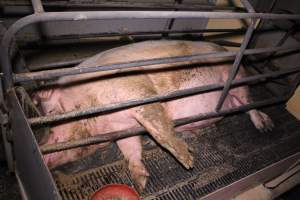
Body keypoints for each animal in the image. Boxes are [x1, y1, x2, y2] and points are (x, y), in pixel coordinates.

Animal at [33, 40, 274, 189]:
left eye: (52, 114)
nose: (42, 151)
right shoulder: (123, 129)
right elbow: (131, 150)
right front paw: (141, 183)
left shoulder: (135, 89)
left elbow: (157, 125)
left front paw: (187, 161)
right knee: (243, 105)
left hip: (236, 78)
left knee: (249, 104)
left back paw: (265, 127)